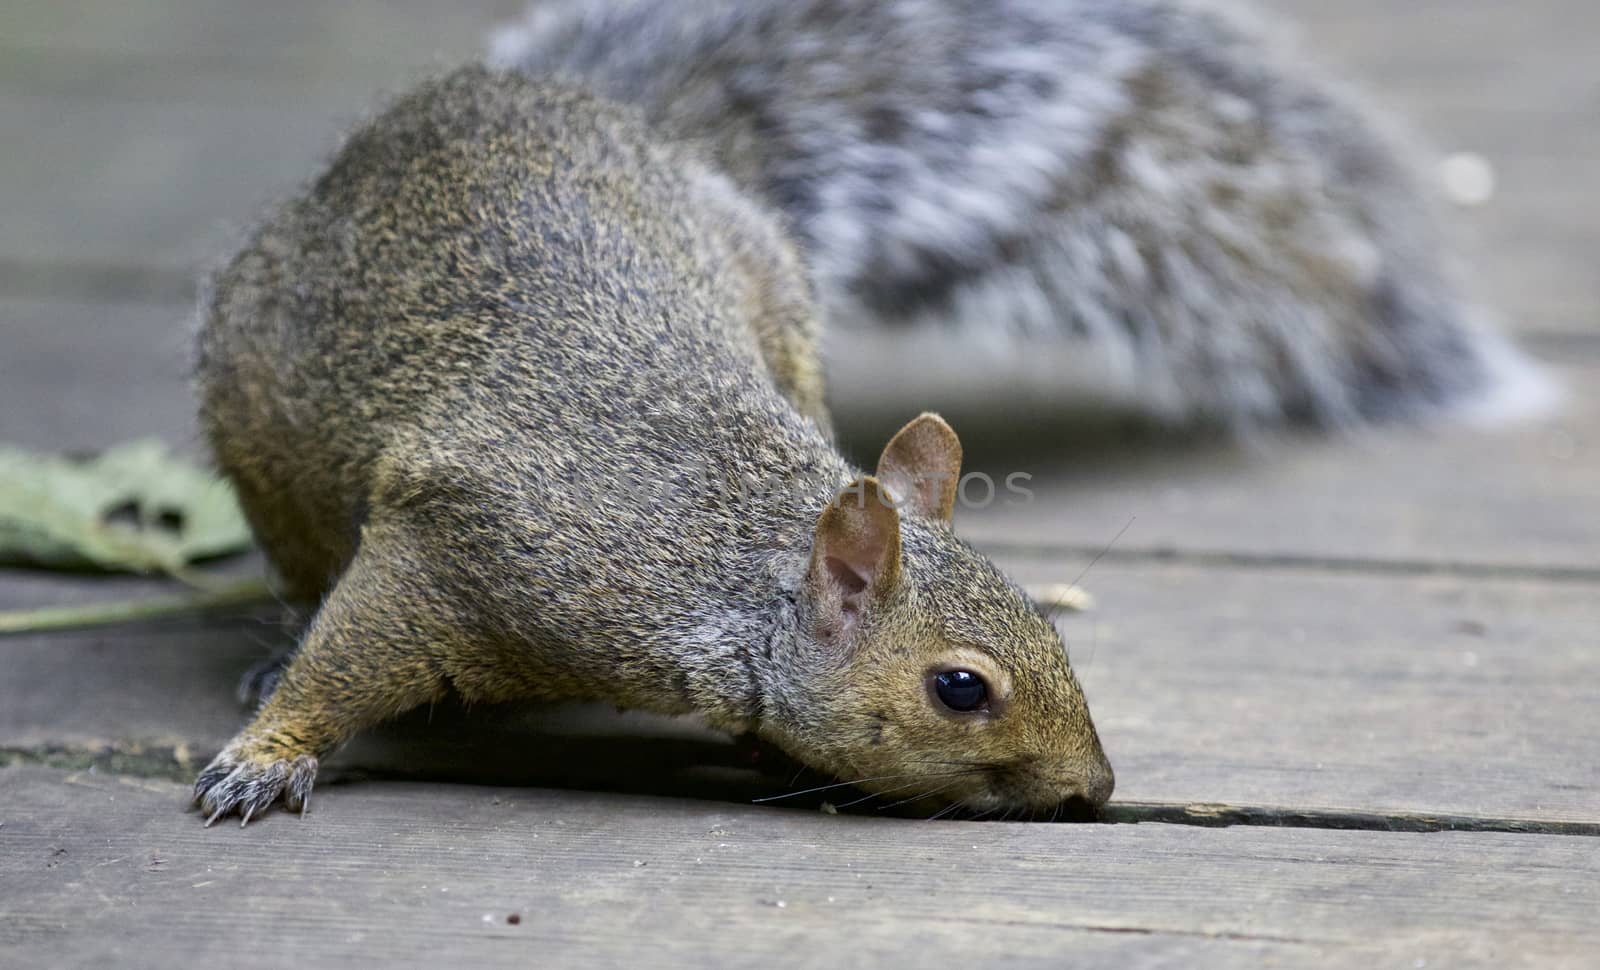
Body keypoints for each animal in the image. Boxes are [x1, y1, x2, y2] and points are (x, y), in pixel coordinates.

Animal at [190, 68, 1113, 825]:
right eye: (960, 688)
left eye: (1047, 626)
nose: (1095, 787)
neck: (720, 574)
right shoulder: (463, 550)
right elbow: (345, 660)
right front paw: (266, 754)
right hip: (259, 438)